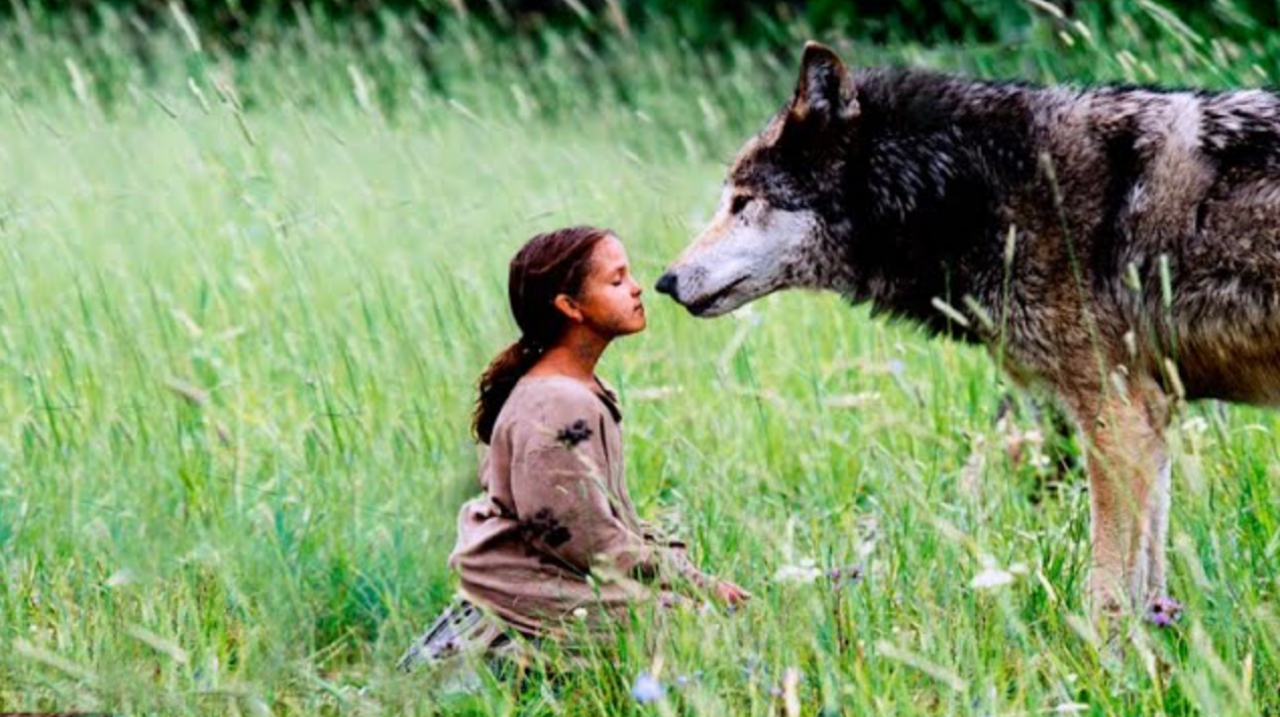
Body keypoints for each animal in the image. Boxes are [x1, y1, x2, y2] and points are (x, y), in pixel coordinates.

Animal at [655, 43, 1280, 617]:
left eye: (744, 202)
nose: (665, 281)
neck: (971, 192)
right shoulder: (1149, 419)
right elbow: (1149, 580)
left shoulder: (1116, 418)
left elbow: (1105, 592)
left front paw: (1108, 661)